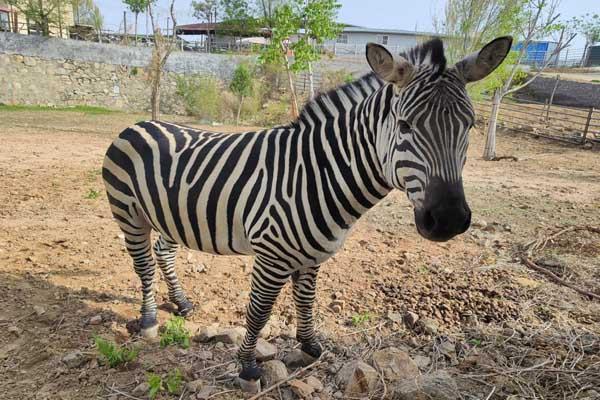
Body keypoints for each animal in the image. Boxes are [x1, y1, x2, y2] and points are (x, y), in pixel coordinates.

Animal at [102, 36, 510, 388]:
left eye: (469, 125)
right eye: (405, 125)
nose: (449, 220)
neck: (318, 173)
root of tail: (140, 123)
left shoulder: (312, 253)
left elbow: (306, 299)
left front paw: (310, 346)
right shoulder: (271, 255)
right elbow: (259, 312)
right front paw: (248, 367)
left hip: (171, 215)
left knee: (163, 251)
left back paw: (183, 304)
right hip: (129, 214)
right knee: (143, 266)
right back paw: (149, 319)